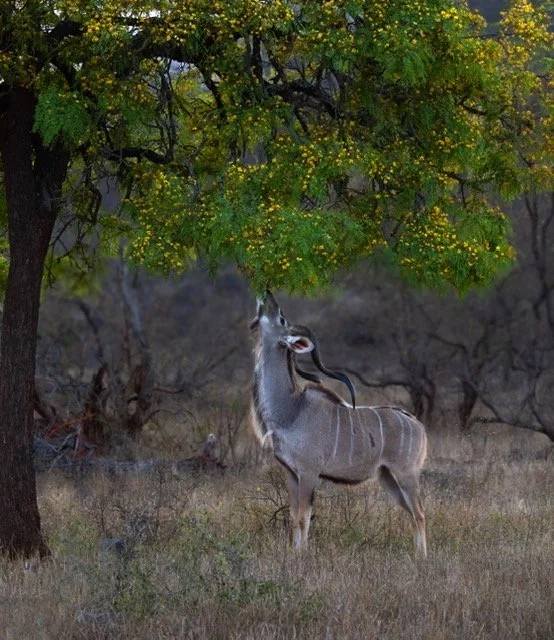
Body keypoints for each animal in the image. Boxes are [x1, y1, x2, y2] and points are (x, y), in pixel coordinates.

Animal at [250, 291, 427, 556]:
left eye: (281, 318)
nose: (267, 294)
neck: (291, 410)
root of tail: (419, 425)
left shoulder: (309, 472)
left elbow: (303, 517)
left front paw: (302, 556)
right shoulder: (291, 473)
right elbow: (294, 516)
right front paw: (294, 554)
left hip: (406, 473)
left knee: (419, 513)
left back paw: (423, 558)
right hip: (387, 476)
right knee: (411, 512)